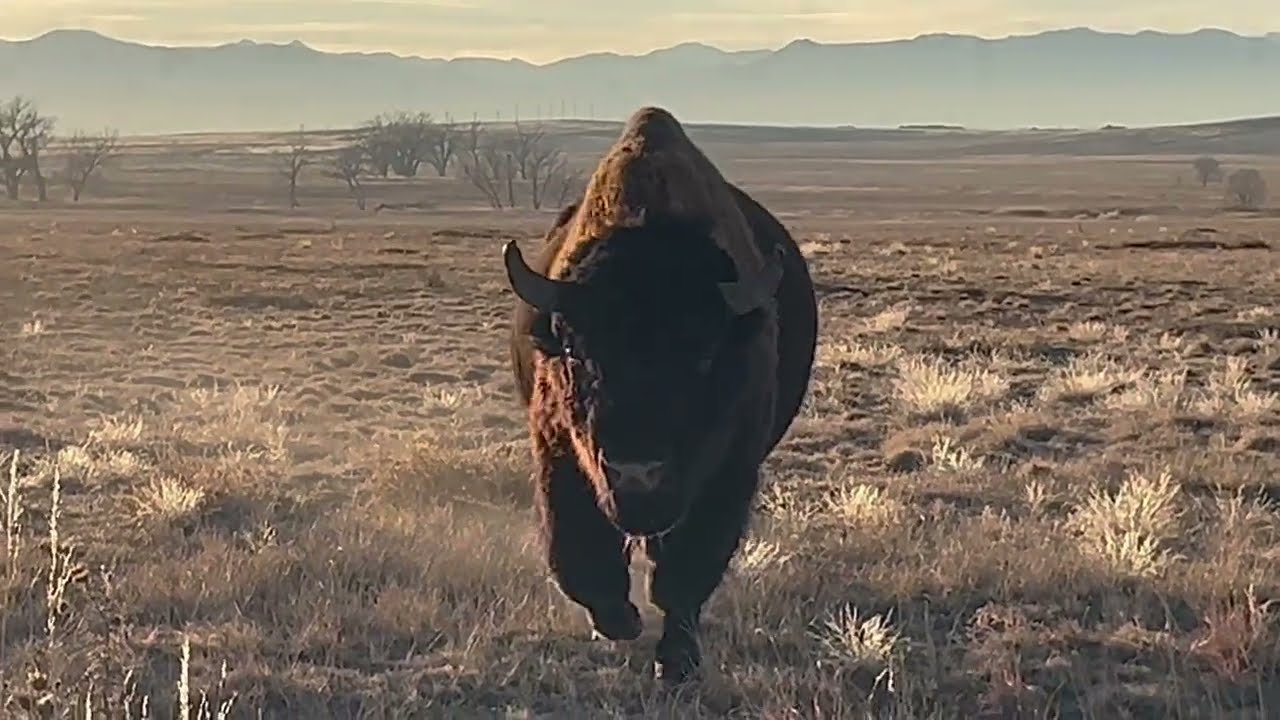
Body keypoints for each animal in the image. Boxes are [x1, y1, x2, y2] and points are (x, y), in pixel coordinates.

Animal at [503, 106, 818, 682]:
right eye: (574, 350)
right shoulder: (560, 452)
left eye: (704, 355)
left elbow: (687, 573)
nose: (637, 473)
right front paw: (617, 623)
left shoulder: (728, 471)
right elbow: (578, 553)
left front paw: (676, 660)